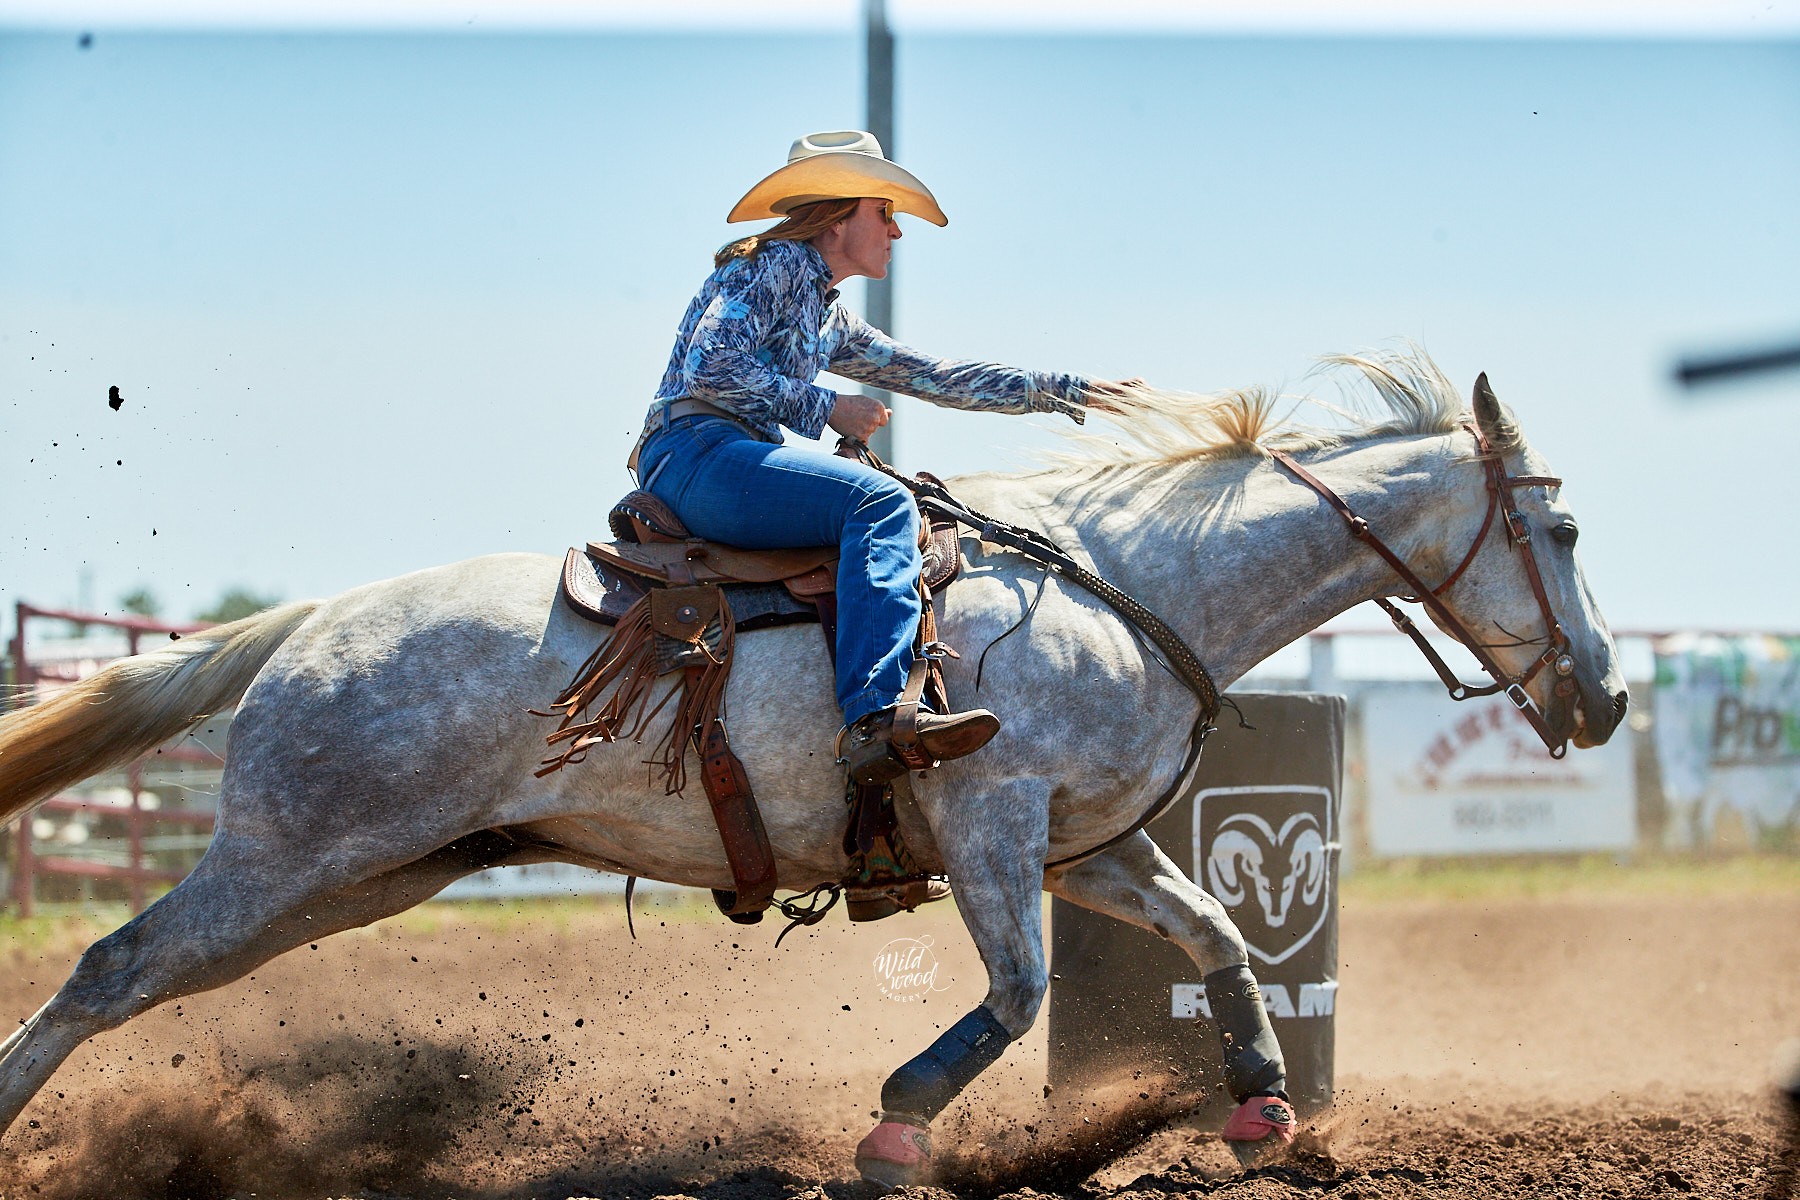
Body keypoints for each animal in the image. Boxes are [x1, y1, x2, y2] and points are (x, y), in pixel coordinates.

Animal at [0, 354, 1634, 1180]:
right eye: (1558, 530)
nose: (1611, 696)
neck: (1123, 582)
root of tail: (315, 621)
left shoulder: (1085, 840)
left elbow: (1222, 935)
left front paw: (1261, 1105)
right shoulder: (990, 819)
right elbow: (1018, 991)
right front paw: (898, 1121)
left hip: (365, 875)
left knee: (134, 976)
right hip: (288, 854)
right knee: (106, 968)